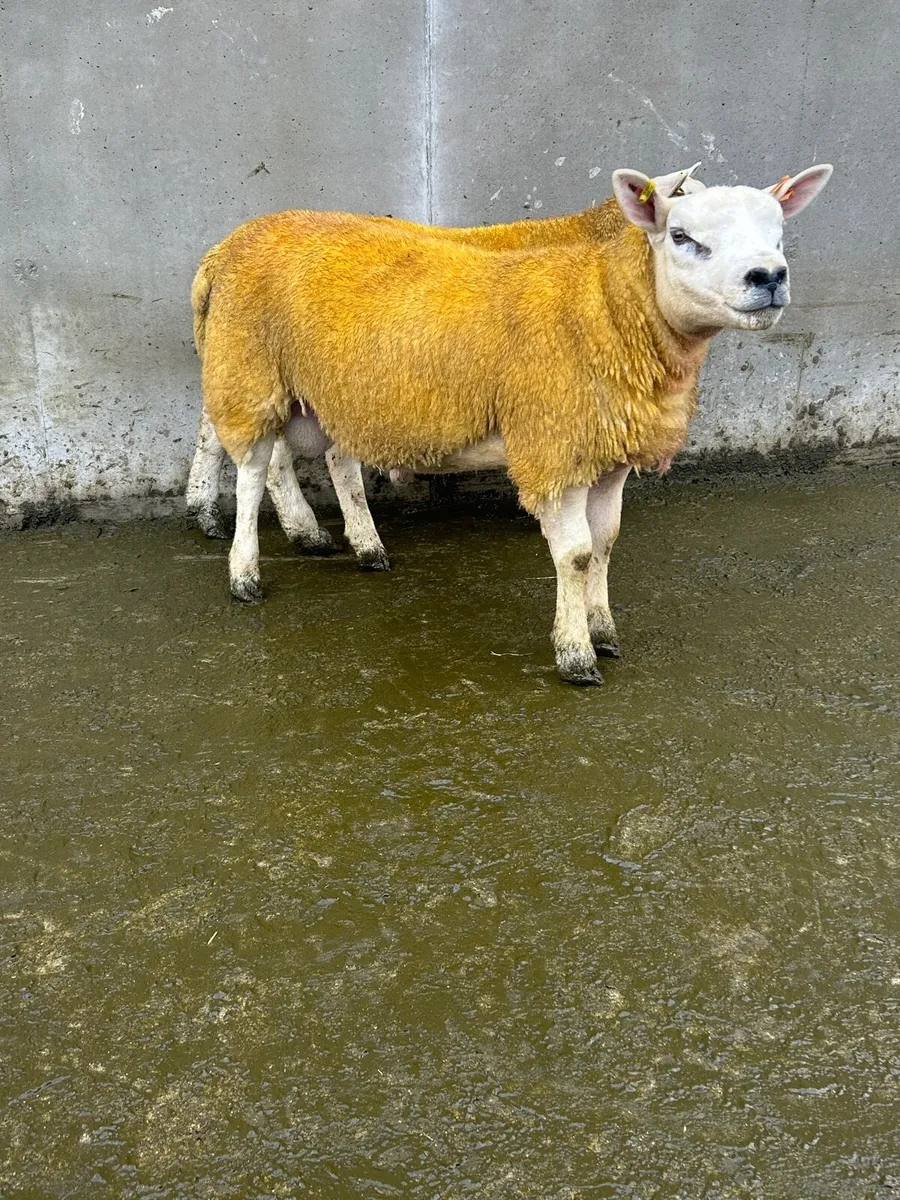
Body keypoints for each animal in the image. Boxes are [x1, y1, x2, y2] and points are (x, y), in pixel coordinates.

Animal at [185, 166, 707, 575]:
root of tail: (222, 250)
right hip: (266, 360)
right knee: (275, 454)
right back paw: (318, 536)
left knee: (222, 431)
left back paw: (216, 512)